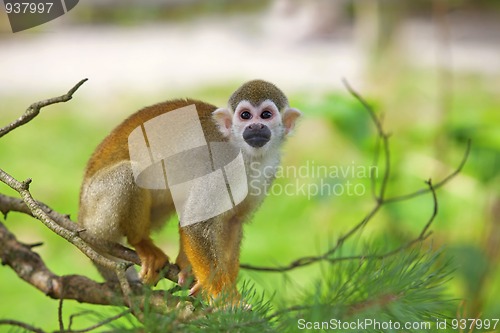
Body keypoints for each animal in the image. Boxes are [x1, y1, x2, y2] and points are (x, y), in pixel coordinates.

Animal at [79, 80, 300, 300]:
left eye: (266, 115)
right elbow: (197, 222)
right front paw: (224, 298)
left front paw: (229, 290)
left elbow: (232, 221)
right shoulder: (220, 163)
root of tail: (81, 215)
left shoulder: (268, 170)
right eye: (245, 115)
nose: (255, 126)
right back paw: (141, 241)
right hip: (97, 211)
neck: (246, 154)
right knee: (129, 172)